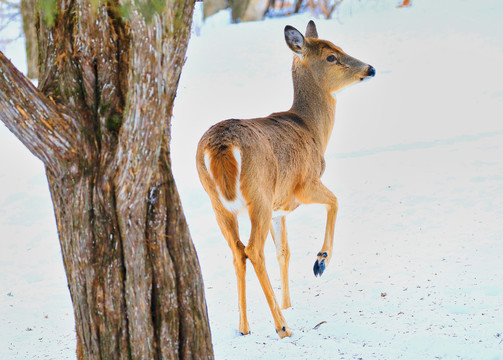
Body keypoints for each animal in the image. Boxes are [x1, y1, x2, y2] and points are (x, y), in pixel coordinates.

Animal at [196, 21, 374, 338]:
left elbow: (284, 251)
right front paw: (320, 261)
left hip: (218, 203)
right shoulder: (304, 185)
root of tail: (220, 146)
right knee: (253, 249)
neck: (313, 130)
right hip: (259, 194)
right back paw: (282, 327)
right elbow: (335, 201)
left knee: (237, 251)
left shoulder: (279, 209)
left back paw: (245, 327)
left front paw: (288, 303)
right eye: (331, 56)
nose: (370, 68)